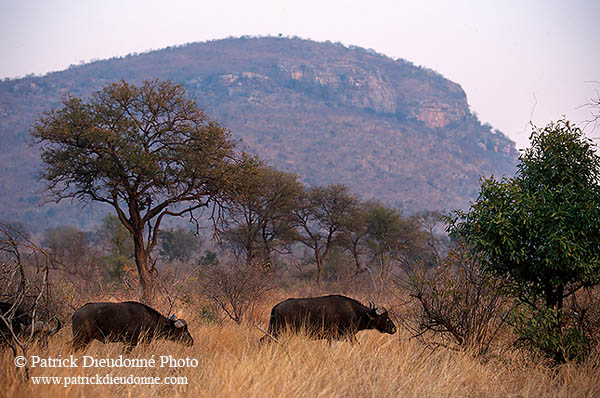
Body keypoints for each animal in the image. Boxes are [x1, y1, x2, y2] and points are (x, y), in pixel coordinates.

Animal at [260, 294, 396, 344]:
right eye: (384, 317)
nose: (394, 329)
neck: (355, 312)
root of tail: (277, 306)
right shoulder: (348, 336)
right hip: (279, 331)